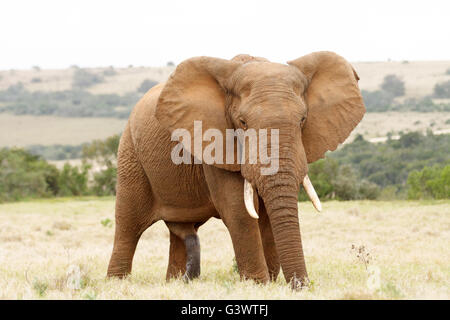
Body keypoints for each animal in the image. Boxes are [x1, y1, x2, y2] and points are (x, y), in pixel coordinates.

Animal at [106, 51, 366, 288]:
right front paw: (257, 285)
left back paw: (175, 283)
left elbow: (266, 215)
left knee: (181, 230)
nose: (302, 285)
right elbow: (238, 209)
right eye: (242, 122)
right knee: (129, 223)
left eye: (302, 120)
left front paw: (268, 284)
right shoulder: (214, 141)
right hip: (130, 152)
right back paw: (117, 284)